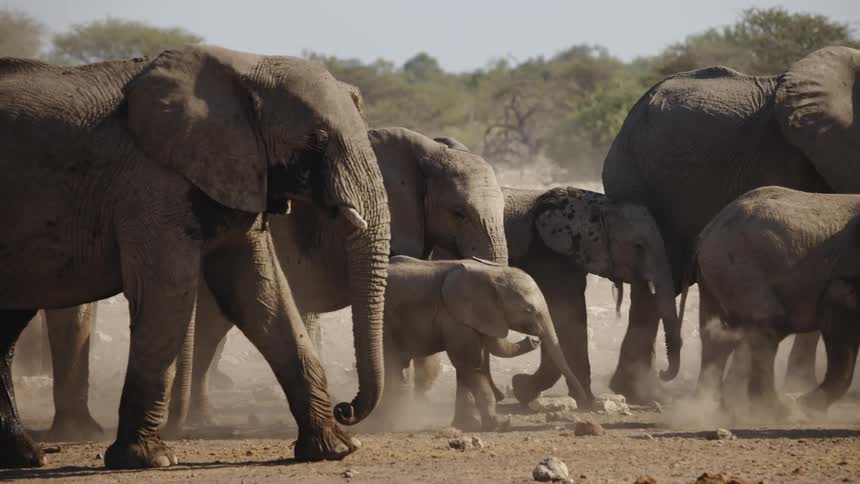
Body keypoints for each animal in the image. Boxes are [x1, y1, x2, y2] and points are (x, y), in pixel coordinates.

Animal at [0, 45, 391, 468]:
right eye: (315, 139)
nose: (346, 407)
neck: (247, 65)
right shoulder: (151, 180)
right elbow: (168, 292)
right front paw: (150, 459)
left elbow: (262, 296)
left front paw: (335, 449)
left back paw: (25, 456)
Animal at [380, 256, 583, 431]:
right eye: (528, 310)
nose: (534, 340)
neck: (491, 273)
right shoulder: (456, 317)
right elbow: (469, 365)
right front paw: (499, 425)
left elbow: (466, 369)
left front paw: (467, 425)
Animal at [421, 186, 681, 407]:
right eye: (639, 246)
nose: (663, 373)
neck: (597, 204)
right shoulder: (548, 255)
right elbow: (564, 318)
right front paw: (529, 389)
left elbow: (568, 319)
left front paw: (529, 389)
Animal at [679, 186, 860, 414]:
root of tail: (706, 233)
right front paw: (805, 409)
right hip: (740, 269)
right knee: (766, 327)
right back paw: (777, 413)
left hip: (715, 277)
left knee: (718, 336)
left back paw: (709, 408)